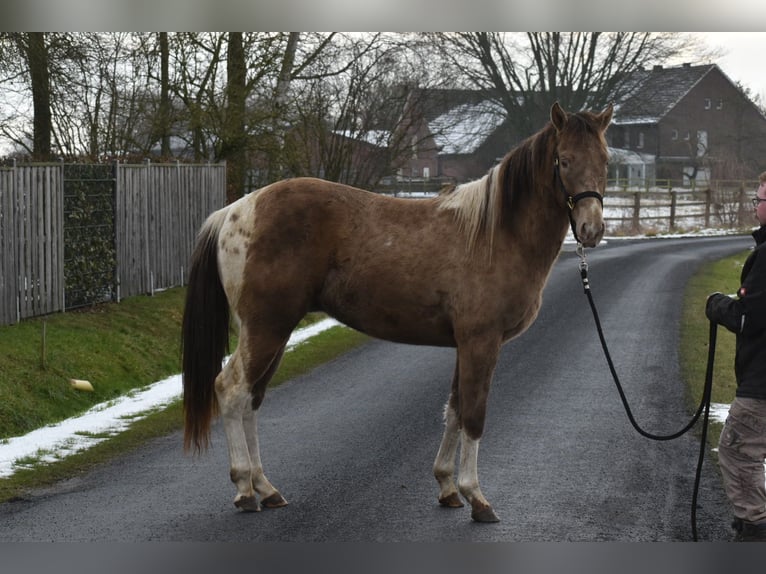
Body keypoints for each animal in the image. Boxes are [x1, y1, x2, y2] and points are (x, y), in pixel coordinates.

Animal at [182, 101, 613, 523]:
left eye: (605, 160)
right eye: (564, 160)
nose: (591, 229)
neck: (494, 234)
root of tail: (236, 211)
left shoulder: (464, 345)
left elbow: (454, 409)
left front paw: (447, 487)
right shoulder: (481, 342)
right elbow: (474, 414)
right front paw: (476, 497)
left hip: (273, 332)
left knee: (251, 400)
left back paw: (266, 489)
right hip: (266, 329)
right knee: (231, 390)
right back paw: (244, 489)